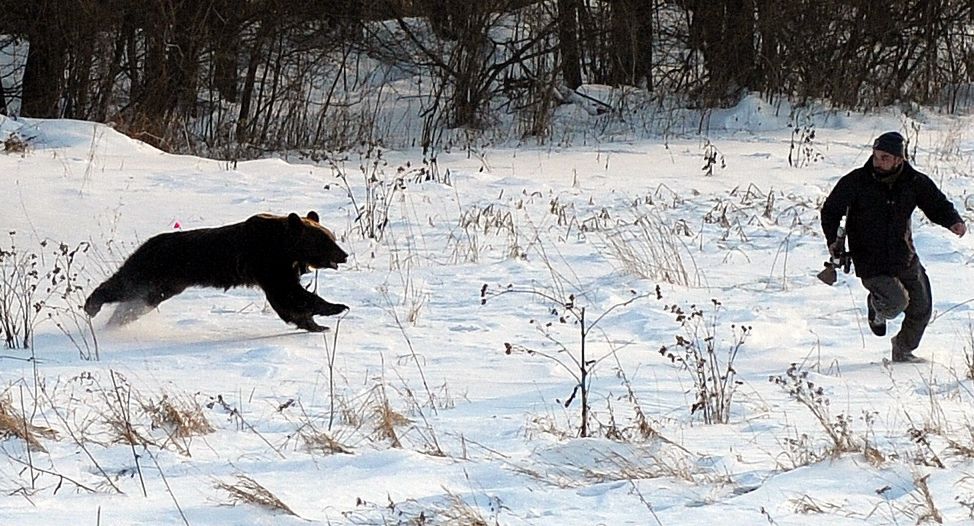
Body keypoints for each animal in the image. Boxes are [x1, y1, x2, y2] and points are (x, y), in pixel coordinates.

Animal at [85, 211, 350, 332]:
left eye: (332, 236)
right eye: (325, 241)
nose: (344, 255)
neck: (285, 248)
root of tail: (149, 242)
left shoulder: (281, 268)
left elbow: (289, 300)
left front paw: (316, 324)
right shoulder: (268, 265)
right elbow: (290, 295)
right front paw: (336, 308)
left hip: (165, 286)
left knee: (137, 303)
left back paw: (115, 322)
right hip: (151, 270)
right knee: (122, 285)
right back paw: (91, 306)